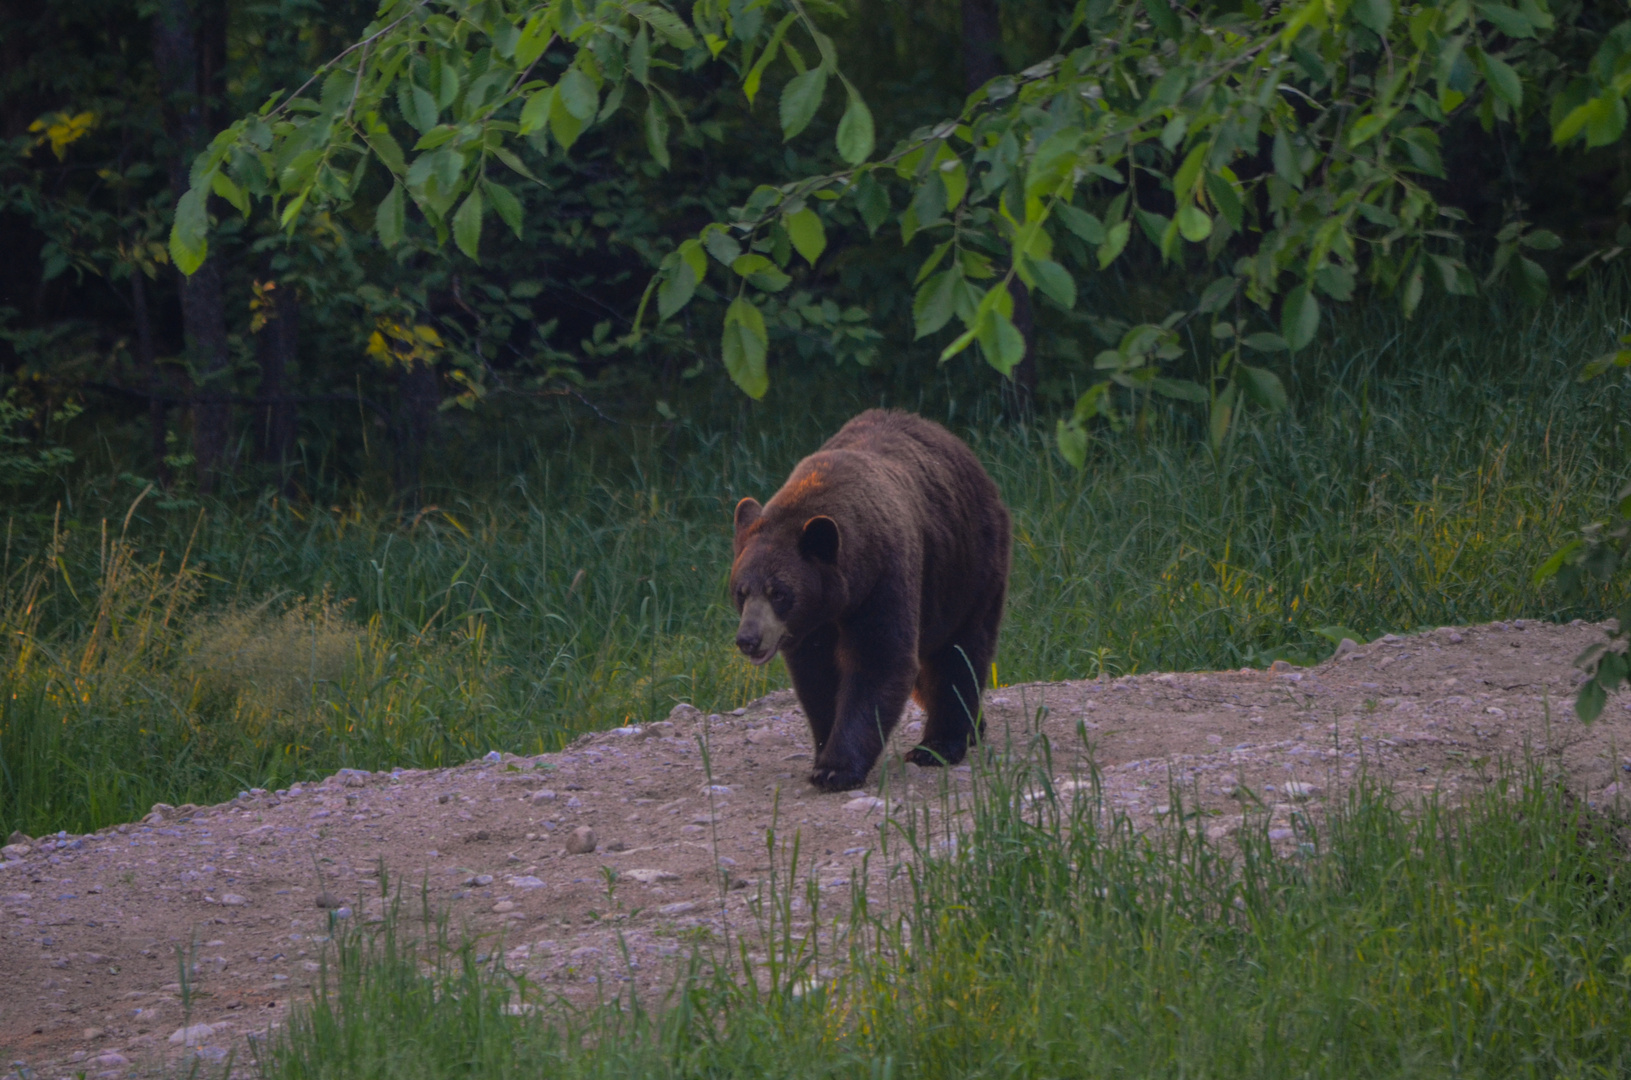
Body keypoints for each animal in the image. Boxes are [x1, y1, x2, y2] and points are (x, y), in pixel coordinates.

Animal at [727, 411, 1004, 792]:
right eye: (741, 591)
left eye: (779, 592)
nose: (749, 639)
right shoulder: (814, 623)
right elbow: (817, 676)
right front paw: (825, 750)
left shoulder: (884, 578)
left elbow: (880, 658)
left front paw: (837, 768)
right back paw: (975, 727)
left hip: (968, 569)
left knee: (960, 652)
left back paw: (939, 745)